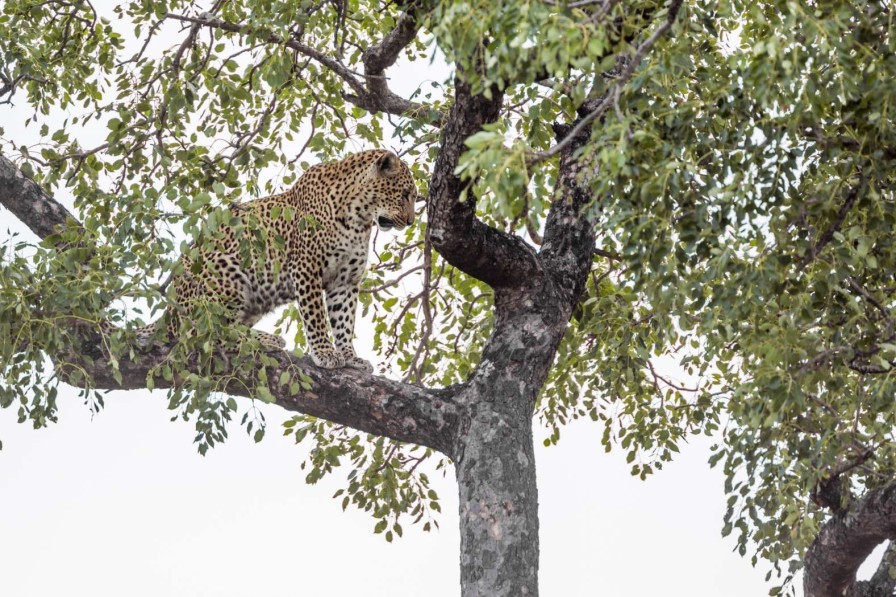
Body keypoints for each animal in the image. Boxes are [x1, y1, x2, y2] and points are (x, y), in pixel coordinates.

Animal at [137, 149, 424, 370]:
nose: (411, 221)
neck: (359, 217)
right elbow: (316, 316)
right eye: (404, 194)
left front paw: (350, 357)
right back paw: (266, 340)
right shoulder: (306, 267)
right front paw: (325, 353)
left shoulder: (345, 280)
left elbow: (344, 321)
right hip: (221, 270)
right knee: (204, 333)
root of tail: (170, 309)